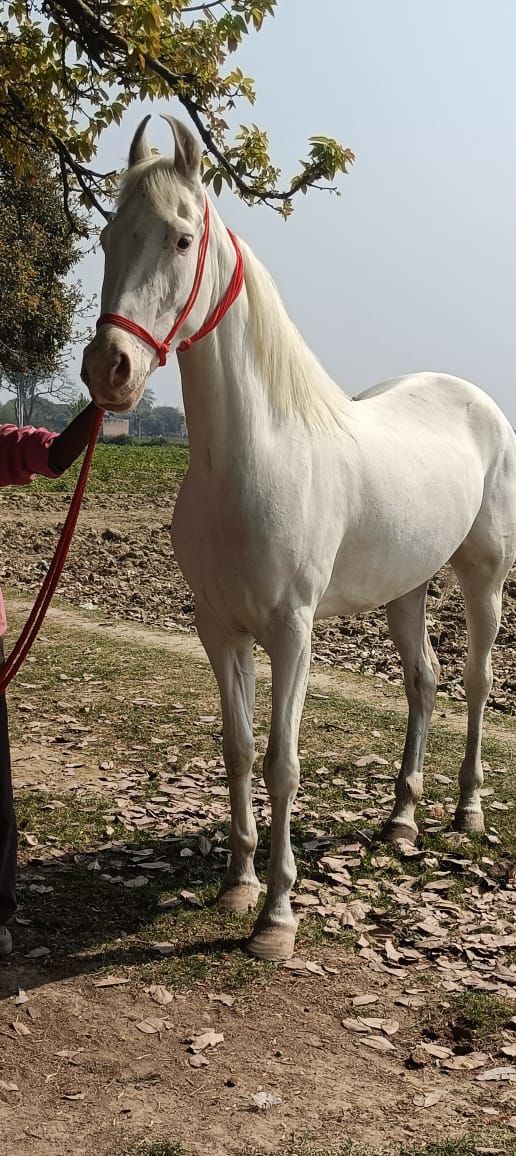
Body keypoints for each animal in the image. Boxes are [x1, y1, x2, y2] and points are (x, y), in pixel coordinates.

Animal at [81, 115, 516, 962]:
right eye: (111, 235)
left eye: (182, 238)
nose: (109, 369)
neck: (256, 456)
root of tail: (476, 398)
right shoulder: (220, 628)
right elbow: (238, 749)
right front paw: (238, 883)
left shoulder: (292, 632)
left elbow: (283, 761)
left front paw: (276, 918)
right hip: (405, 589)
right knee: (425, 681)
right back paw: (400, 822)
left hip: (484, 578)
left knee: (478, 682)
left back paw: (465, 813)